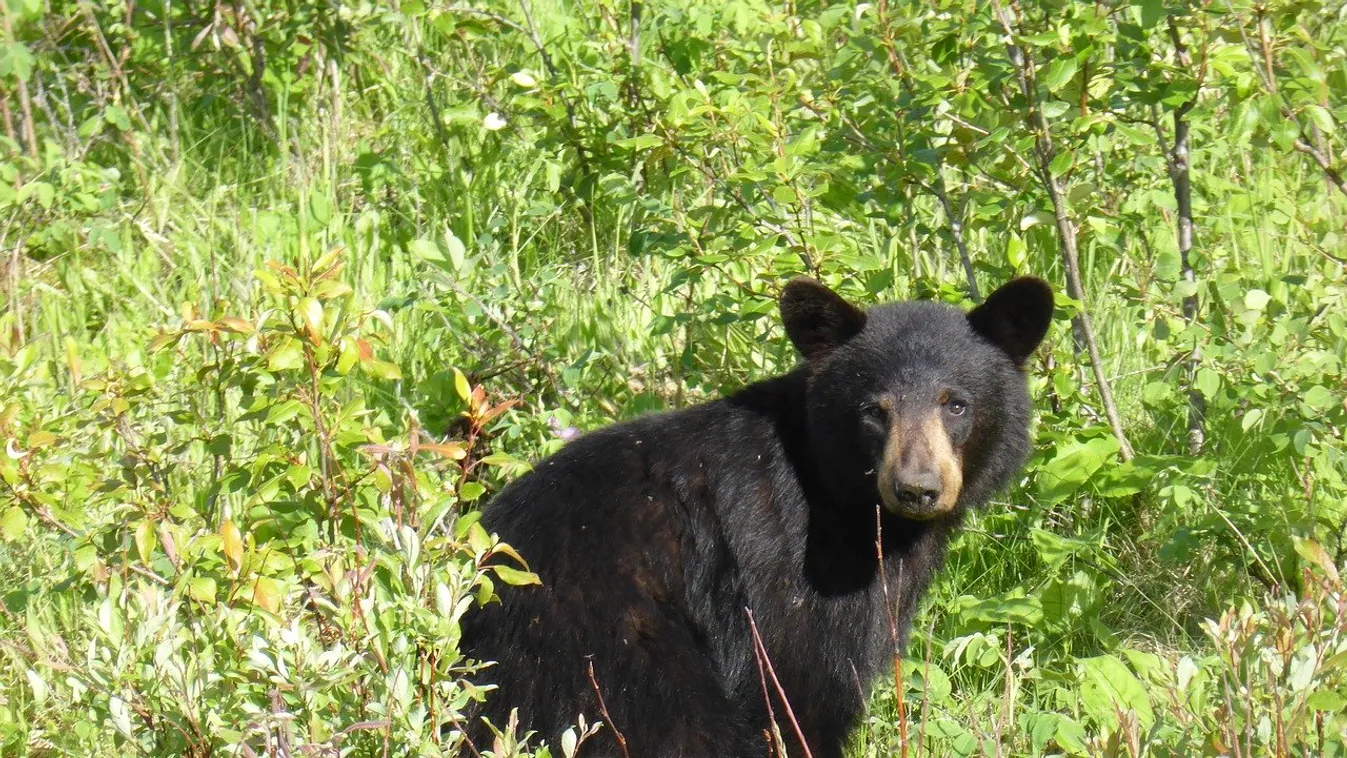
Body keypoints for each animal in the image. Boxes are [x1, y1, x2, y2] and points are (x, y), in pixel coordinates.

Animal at [457, 276, 1053, 758]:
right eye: (873, 410)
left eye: (956, 403)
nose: (917, 488)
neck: (842, 499)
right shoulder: (784, 571)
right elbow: (801, 687)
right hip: (605, 649)